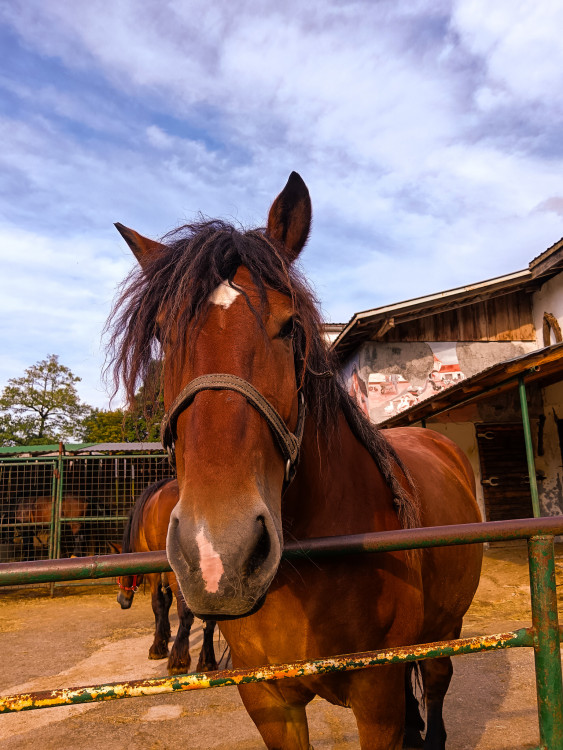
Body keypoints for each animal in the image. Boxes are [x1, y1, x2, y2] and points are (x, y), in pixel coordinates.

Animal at [113, 478, 219, 680]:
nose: (121, 600)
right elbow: (167, 601)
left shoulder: (154, 573)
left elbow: (158, 604)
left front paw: (158, 646)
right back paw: (207, 662)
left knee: (185, 613)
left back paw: (178, 662)